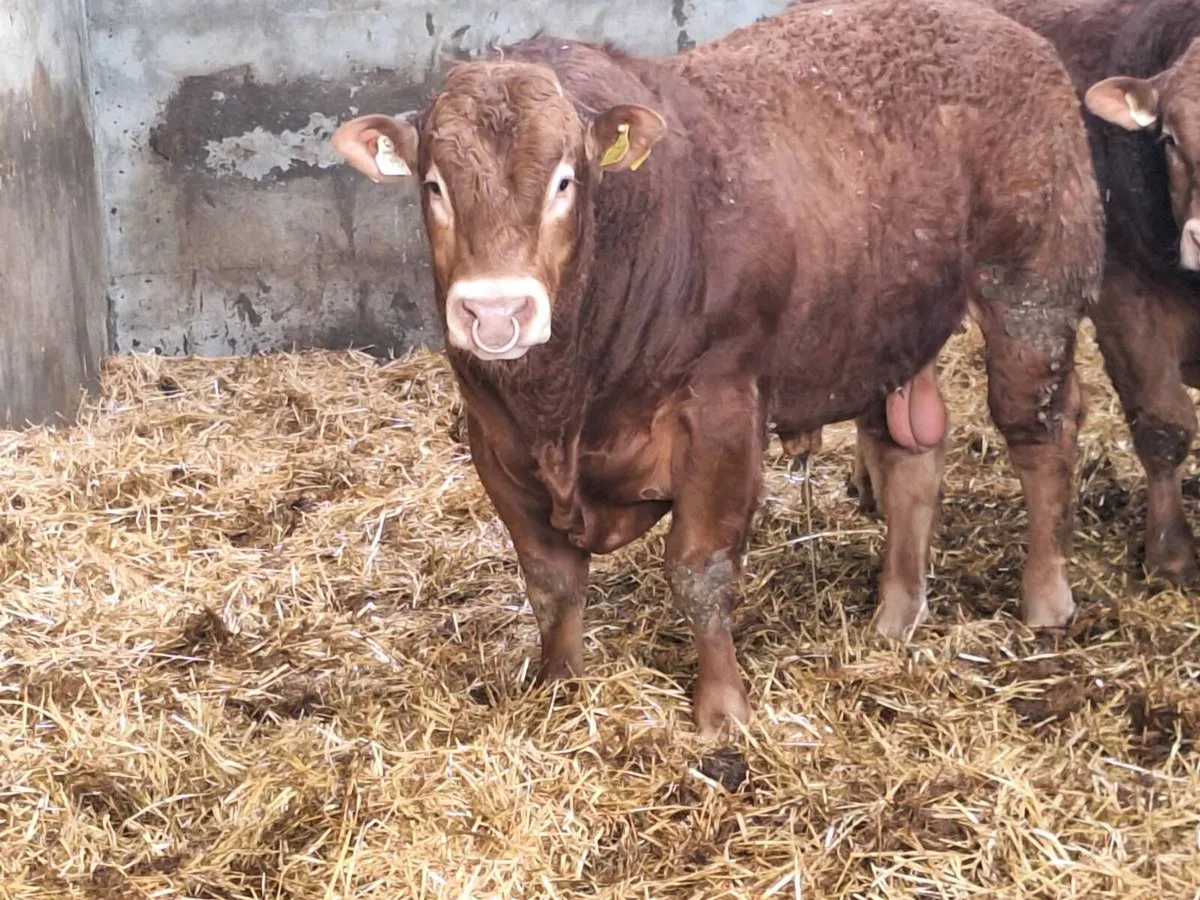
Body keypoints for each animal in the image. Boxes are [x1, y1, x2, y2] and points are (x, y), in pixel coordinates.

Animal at [332, 0, 1102, 736]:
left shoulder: (720, 411)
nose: (496, 312)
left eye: (564, 181)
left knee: (1040, 430)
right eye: (435, 185)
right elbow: (551, 580)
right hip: (891, 322)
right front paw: (559, 688)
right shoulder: (494, 438)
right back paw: (895, 614)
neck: (563, 405)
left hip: (1032, 289)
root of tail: (1006, 29)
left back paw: (1045, 598)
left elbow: (698, 568)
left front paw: (722, 710)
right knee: (910, 452)